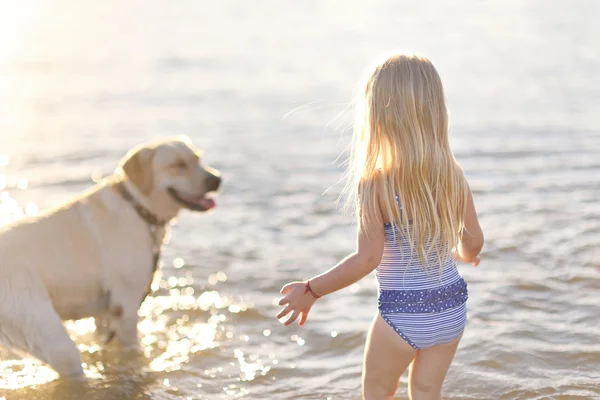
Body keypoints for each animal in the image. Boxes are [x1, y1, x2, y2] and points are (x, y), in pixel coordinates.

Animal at [0, 136, 221, 376]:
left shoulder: (105, 313)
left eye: (197, 159)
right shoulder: (125, 305)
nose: (216, 179)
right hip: (50, 335)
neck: (137, 207)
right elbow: (132, 349)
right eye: (178, 165)